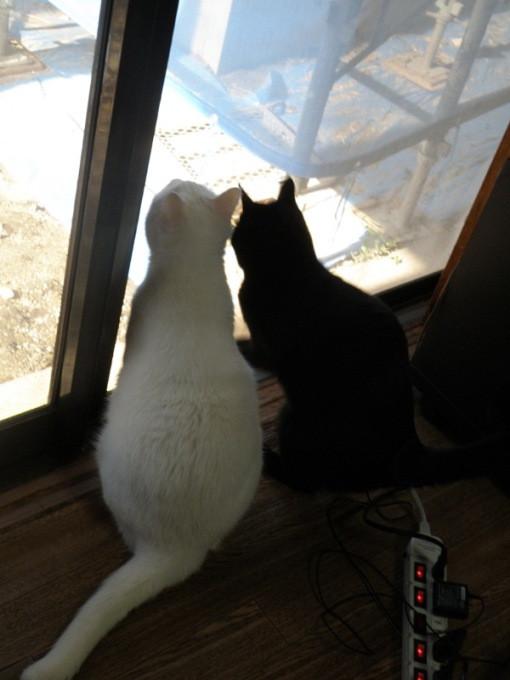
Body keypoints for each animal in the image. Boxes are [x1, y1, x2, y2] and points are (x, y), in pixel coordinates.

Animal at [231, 177, 508, 493]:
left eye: (238, 229)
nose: (230, 234)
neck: (291, 270)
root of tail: (410, 444)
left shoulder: (267, 349)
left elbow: (250, 350)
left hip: (292, 417)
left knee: (308, 482)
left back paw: (268, 460)